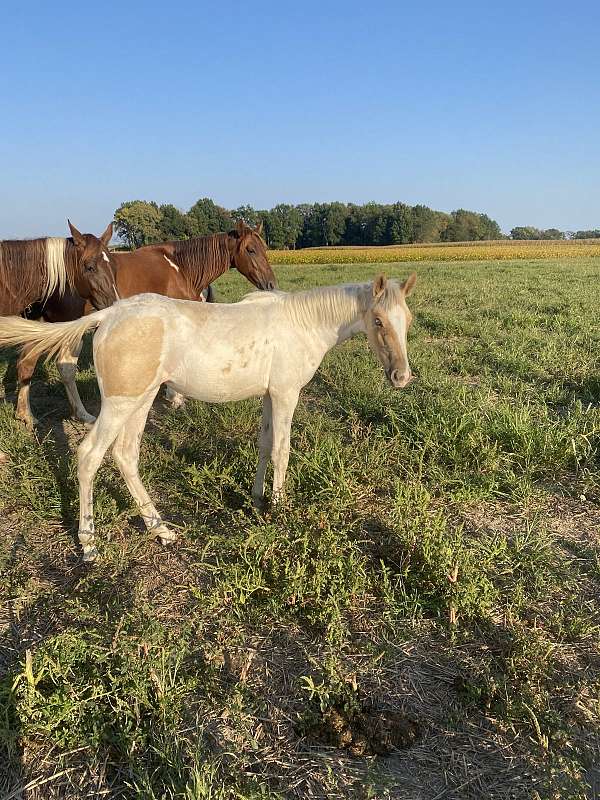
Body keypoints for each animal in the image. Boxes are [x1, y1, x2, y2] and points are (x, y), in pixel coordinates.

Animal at [0, 272, 414, 560]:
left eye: (407, 320)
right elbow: (282, 450)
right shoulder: (285, 394)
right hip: (120, 404)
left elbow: (264, 445)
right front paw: (280, 511)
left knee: (125, 455)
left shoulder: (269, 396)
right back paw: (88, 543)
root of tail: (110, 314)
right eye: (378, 320)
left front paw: (257, 499)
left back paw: (160, 530)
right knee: (89, 456)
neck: (302, 323)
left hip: (141, 400)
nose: (401, 377)